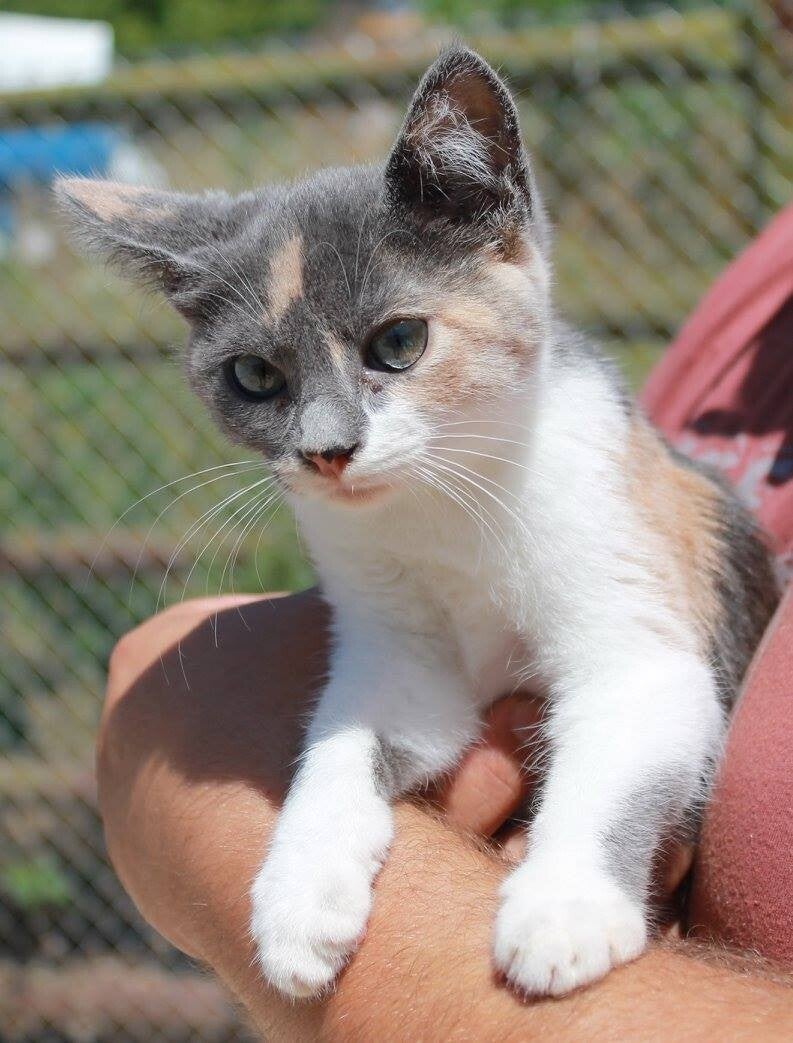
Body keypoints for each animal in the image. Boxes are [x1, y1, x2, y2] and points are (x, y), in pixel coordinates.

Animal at [58, 46, 778, 999]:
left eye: (398, 343)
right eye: (253, 375)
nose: (327, 450)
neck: (446, 508)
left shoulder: (642, 621)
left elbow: (616, 758)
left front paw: (565, 906)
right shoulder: (398, 655)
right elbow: (345, 738)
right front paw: (299, 892)